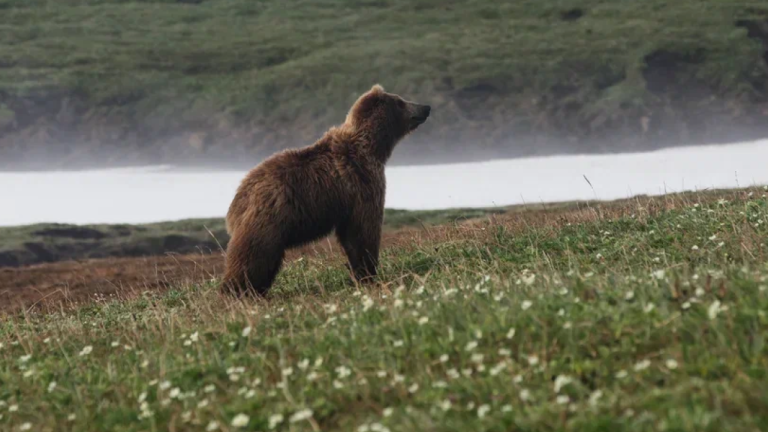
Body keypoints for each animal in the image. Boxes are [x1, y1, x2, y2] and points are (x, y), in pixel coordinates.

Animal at [222, 84, 431, 296]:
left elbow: (351, 236)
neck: (372, 146)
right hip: (268, 219)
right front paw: (368, 272)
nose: (426, 107)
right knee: (254, 256)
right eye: (400, 101)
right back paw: (236, 290)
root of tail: (238, 198)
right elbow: (364, 230)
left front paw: (359, 272)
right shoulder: (361, 182)